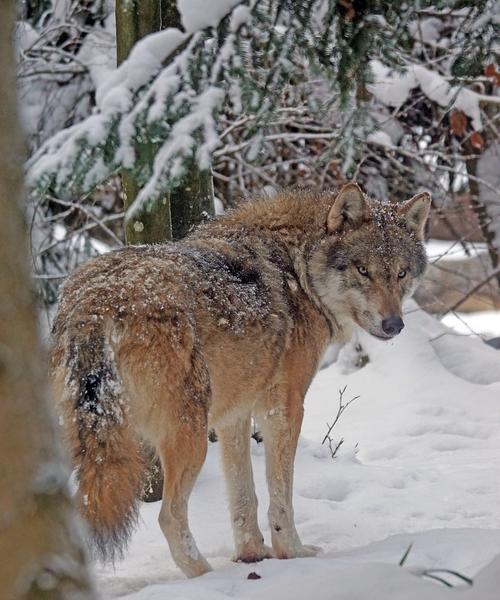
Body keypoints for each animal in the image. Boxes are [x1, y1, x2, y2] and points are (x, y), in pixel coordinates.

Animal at [49, 182, 430, 576]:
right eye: (362, 270)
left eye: (401, 273)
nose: (394, 325)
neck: (300, 271)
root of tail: (96, 302)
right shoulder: (283, 409)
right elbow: (280, 497)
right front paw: (291, 552)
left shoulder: (234, 415)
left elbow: (244, 496)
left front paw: (251, 554)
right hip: (189, 437)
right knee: (169, 517)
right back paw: (204, 575)